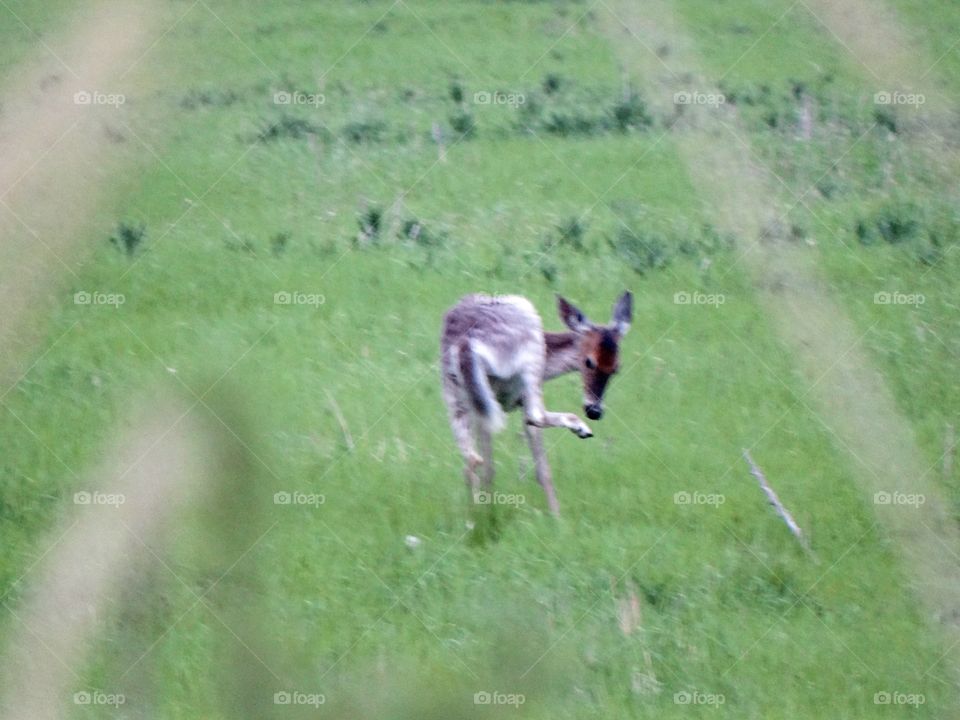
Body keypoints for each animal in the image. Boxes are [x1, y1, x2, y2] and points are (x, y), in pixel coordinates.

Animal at [440, 291, 632, 515]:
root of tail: (466, 342)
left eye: (616, 368)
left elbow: (490, 464)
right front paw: (556, 516)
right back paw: (581, 428)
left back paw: (473, 516)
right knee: (535, 416)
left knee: (471, 458)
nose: (594, 410)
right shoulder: (521, 397)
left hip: (455, 391)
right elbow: (541, 465)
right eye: (588, 361)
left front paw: (488, 508)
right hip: (528, 353)